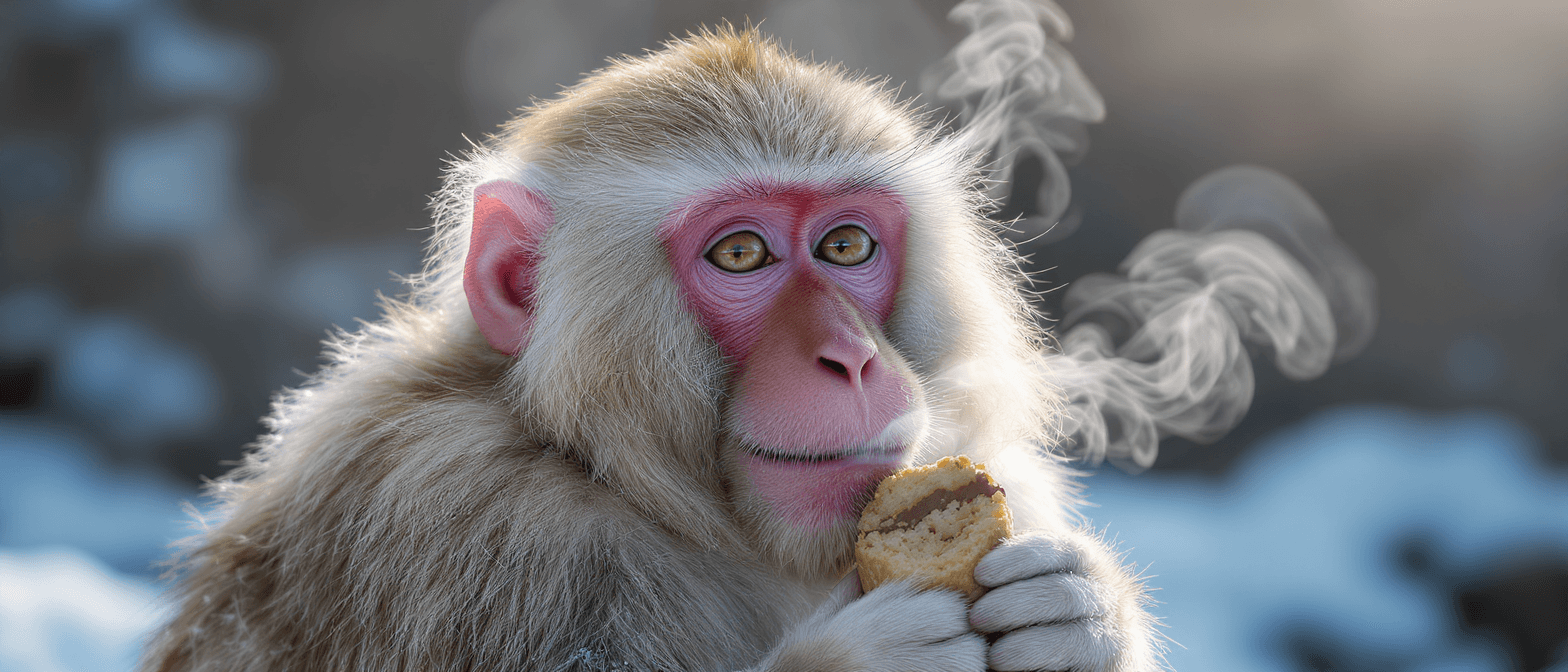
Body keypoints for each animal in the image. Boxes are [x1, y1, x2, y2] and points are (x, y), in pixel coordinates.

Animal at [144, 27, 1163, 672]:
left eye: (845, 246)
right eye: (742, 254)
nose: (852, 358)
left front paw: (1086, 613)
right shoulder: (463, 515)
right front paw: (851, 662)